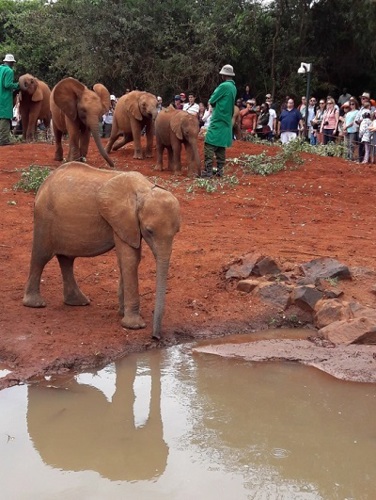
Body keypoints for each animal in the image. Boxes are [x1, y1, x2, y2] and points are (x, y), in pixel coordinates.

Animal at [23, 162, 181, 342]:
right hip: (44, 217)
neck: (145, 189)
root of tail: (44, 183)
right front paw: (134, 326)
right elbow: (130, 259)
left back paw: (78, 302)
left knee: (67, 259)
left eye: (177, 231)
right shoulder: (121, 219)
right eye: (149, 231)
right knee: (41, 257)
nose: (155, 337)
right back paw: (35, 304)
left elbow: (127, 259)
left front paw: (121, 313)